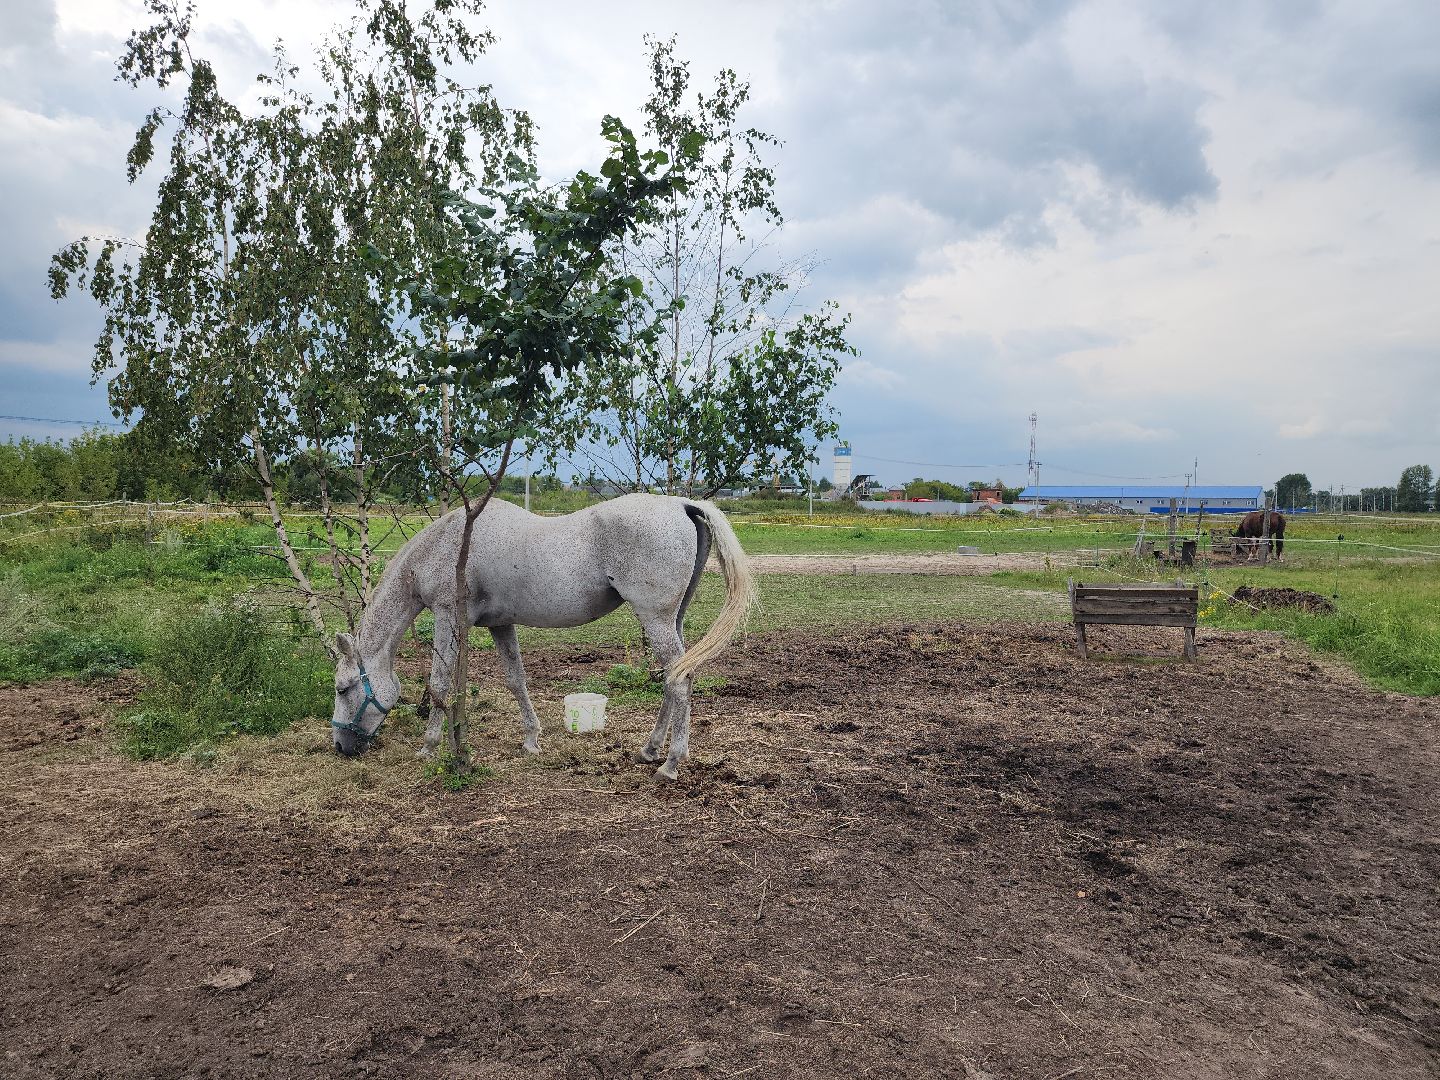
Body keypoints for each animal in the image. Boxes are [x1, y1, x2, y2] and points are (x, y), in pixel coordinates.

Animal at [329, 493, 757, 780]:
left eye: (343, 688)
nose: (340, 747)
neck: (450, 543)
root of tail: (682, 505)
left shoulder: (448, 618)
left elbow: (439, 683)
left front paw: (429, 747)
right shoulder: (500, 624)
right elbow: (516, 680)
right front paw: (532, 740)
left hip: (656, 619)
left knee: (678, 681)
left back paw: (669, 764)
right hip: (672, 619)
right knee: (677, 676)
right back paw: (650, 750)